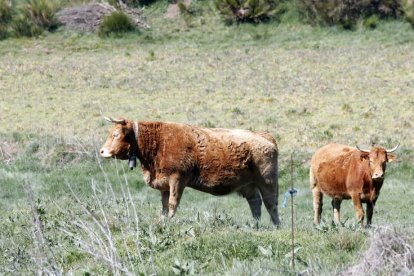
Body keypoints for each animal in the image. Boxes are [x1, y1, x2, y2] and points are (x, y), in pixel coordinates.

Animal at [100, 116, 282, 224]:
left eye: (116, 134)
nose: (101, 151)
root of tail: (264, 136)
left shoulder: (177, 179)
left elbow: (173, 203)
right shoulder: (164, 184)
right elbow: (164, 206)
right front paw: (162, 221)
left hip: (267, 182)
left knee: (271, 205)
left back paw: (276, 226)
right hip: (248, 185)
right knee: (255, 203)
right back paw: (255, 226)